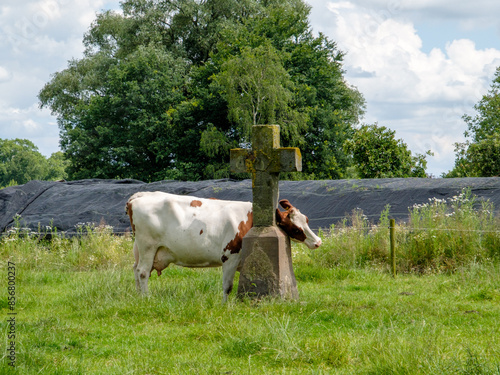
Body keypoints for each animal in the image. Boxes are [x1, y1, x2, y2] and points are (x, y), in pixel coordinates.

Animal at [124, 192, 320, 302]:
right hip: (148, 246)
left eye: (307, 219)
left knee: (136, 270)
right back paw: (146, 299)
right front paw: (225, 305)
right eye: (296, 228)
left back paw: (137, 296)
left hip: (141, 249)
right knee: (143, 272)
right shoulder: (230, 257)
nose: (318, 241)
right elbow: (228, 286)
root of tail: (140, 196)